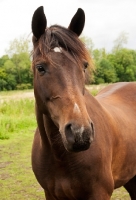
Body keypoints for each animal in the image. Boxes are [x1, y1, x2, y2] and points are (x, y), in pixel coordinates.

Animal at [30, 5, 136, 199]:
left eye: (84, 65)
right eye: (40, 67)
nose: (80, 133)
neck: (60, 156)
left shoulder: (99, 193)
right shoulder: (50, 194)